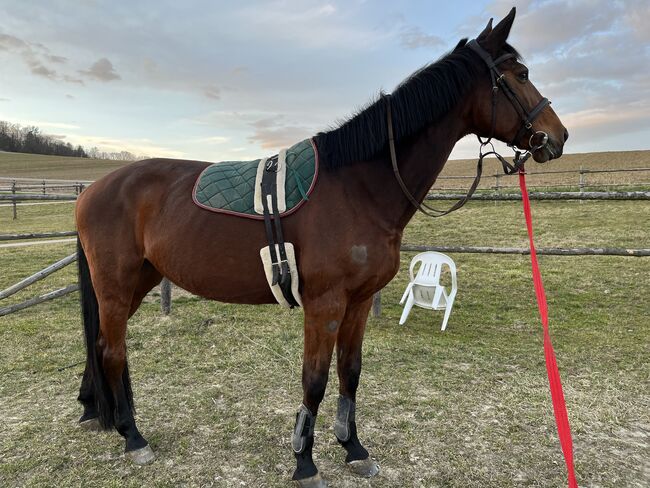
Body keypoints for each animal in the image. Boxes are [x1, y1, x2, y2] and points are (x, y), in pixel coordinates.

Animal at [74, 8, 560, 488]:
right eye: (520, 74)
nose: (557, 137)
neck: (358, 185)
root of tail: (92, 190)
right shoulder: (324, 305)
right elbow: (315, 380)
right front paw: (304, 463)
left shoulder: (358, 303)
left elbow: (350, 374)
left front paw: (353, 448)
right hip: (116, 287)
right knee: (113, 351)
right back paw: (133, 437)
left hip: (138, 282)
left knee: (102, 346)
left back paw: (104, 415)